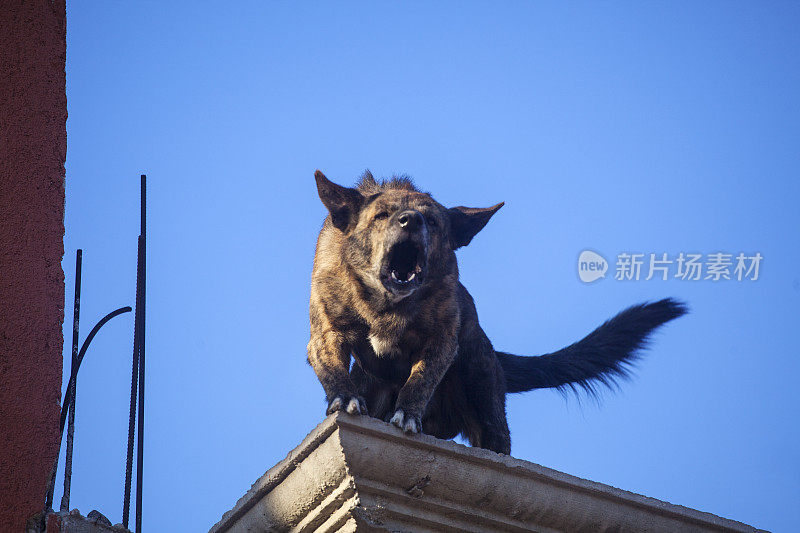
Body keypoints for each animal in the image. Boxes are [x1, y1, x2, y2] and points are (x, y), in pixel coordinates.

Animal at [308, 170, 688, 454]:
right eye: (382, 215)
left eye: (432, 221)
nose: (410, 221)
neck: (387, 306)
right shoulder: (325, 334)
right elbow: (332, 367)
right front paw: (343, 397)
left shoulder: (441, 342)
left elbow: (420, 379)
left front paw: (408, 415)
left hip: (486, 404)